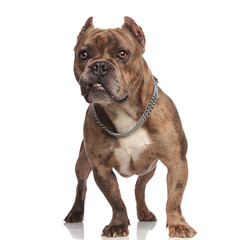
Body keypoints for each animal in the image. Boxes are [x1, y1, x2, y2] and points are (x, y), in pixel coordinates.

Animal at [64, 16, 197, 238]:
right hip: (82, 162)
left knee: (139, 188)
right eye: (83, 54)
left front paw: (178, 225)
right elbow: (115, 200)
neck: (123, 111)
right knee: (81, 186)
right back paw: (75, 213)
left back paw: (143, 212)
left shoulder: (176, 163)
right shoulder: (101, 168)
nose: (99, 66)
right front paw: (118, 224)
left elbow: (174, 198)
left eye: (122, 54)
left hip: (148, 169)